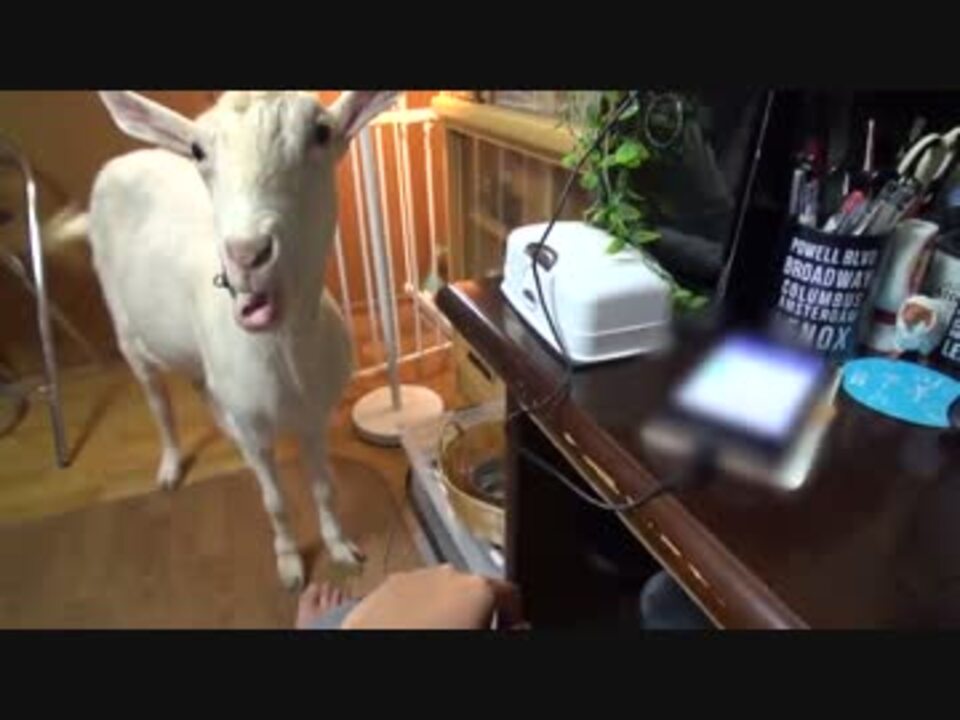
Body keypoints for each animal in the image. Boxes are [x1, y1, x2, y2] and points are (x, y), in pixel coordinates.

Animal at [56, 90, 399, 590]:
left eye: (322, 132)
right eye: (198, 150)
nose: (247, 255)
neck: (286, 355)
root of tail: (122, 161)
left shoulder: (315, 414)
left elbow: (324, 486)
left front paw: (341, 549)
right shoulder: (257, 423)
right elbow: (275, 501)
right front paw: (290, 564)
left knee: (201, 382)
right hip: (122, 320)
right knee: (157, 397)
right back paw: (170, 467)